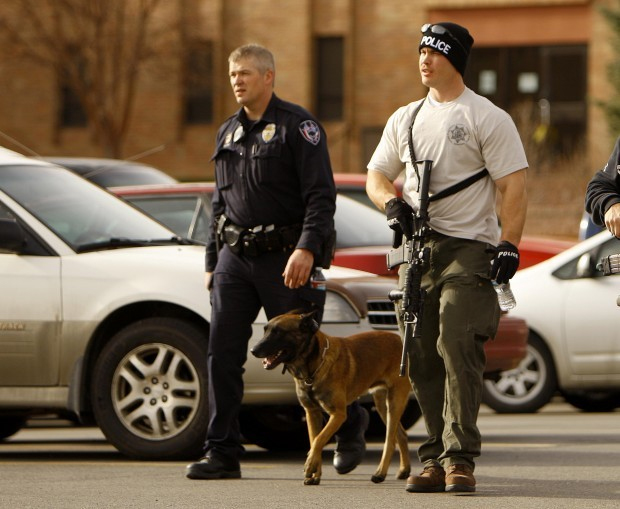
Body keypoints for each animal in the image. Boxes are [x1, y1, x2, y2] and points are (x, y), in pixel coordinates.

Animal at [249, 310, 410, 484]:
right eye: (265, 330)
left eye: (278, 332)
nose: (253, 350)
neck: (312, 368)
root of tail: (401, 340)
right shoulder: (312, 413)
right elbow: (315, 440)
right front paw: (315, 474)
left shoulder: (338, 414)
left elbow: (319, 439)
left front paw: (310, 465)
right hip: (382, 405)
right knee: (401, 435)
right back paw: (404, 470)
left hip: (394, 402)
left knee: (390, 440)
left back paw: (380, 473)